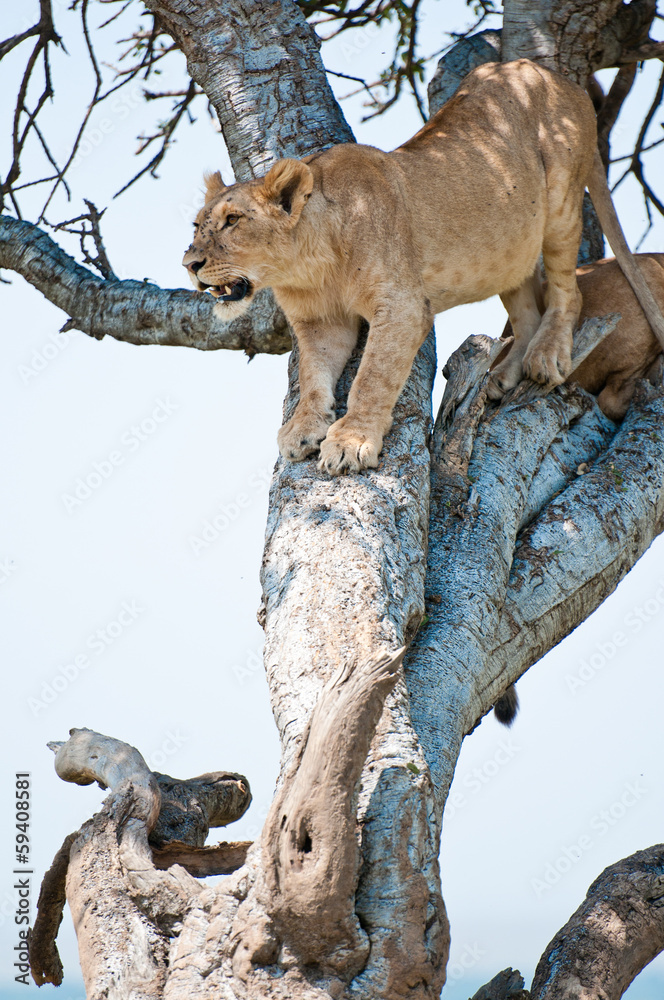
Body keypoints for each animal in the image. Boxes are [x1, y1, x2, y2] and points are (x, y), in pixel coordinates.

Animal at [183, 59, 664, 476]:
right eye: (197, 224)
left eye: (233, 220)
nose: (189, 263)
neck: (308, 269)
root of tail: (565, 81)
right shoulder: (320, 322)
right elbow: (313, 376)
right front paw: (302, 428)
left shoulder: (402, 306)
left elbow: (373, 376)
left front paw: (350, 442)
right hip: (509, 249)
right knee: (527, 312)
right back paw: (502, 376)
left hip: (562, 201)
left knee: (568, 292)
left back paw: (546, 357)